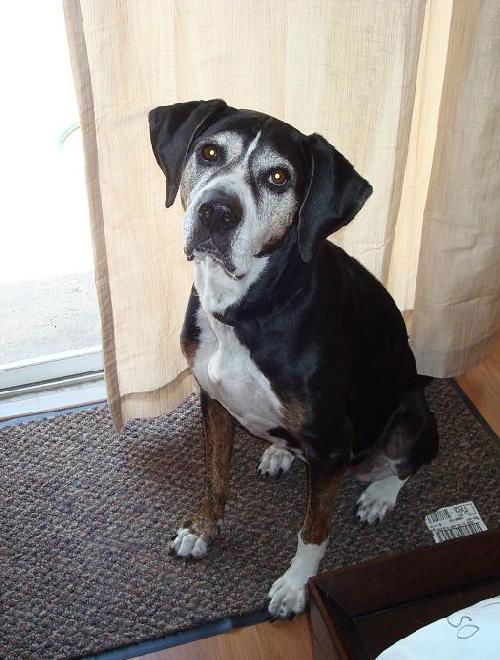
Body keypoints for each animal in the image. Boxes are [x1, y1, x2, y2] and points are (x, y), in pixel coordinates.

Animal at [147, 98, 438, 620]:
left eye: (279, 177)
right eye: (209, 151)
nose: (216, 211)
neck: (246, 310)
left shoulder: (331, 441)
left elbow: (313, 530)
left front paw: (295, 587)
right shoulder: (213, 403)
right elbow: (215, 477)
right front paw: (202, 531)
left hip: (410, 414)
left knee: (412, 459)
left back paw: (379, 496)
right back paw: (278, 451)